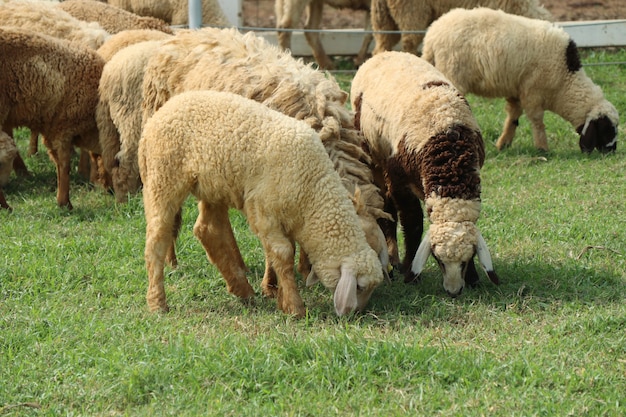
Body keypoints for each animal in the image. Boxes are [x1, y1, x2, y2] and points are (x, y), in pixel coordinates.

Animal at [0, 26, 105, 208]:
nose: (109, 191)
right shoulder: (63, 126)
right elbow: (64, 163)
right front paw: (65, 203)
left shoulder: (53, 128)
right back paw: (6, 205)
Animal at [140, 88, 382, 316]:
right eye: (359, 287)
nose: (356, 313)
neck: (313, 190)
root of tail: (158, 115)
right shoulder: (263, 210)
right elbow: (283, 253)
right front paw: (294, 306)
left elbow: (281, 252)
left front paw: (281, 298)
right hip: (163, 178)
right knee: (157, 238)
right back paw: (157, 303)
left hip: (213, 185)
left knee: (207, 230)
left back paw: (242, 289)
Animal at [346, 51, 498, 296]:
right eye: (437, 259)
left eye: (466, 261)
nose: (453, 292)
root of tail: (384, 54)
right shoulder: (399, 181)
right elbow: (413, 223)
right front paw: (410, 270)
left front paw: (473, 278)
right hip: (372, 156)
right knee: (386, 209)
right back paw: (393, 260)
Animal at [416, 8, 616, 152]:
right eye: (606, 128)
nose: (611, 151)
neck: (565, 82)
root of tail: (432, 35)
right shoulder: (532, 91)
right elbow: (537, 120)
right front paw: (542, 148)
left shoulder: (517, 90)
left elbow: (514, 116)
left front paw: (504, 143)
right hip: (452, 72)